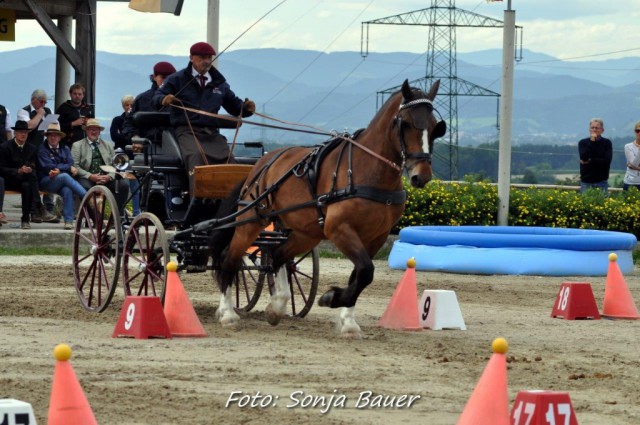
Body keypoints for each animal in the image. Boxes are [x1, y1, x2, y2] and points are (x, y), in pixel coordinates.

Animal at [210, 79, 444, 336]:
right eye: (407, 124)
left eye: (435, 127)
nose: (421, 176)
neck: (368, 171)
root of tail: (262, 163)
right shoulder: (338, 229)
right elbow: (365, 270)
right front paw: (332, 298)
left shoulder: (377, 236)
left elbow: (360, 274)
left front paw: (347, 320)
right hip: (252, 219)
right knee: (230, 259)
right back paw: (228, 313)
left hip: (307, 232)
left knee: (279, 255)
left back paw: (277, 305)